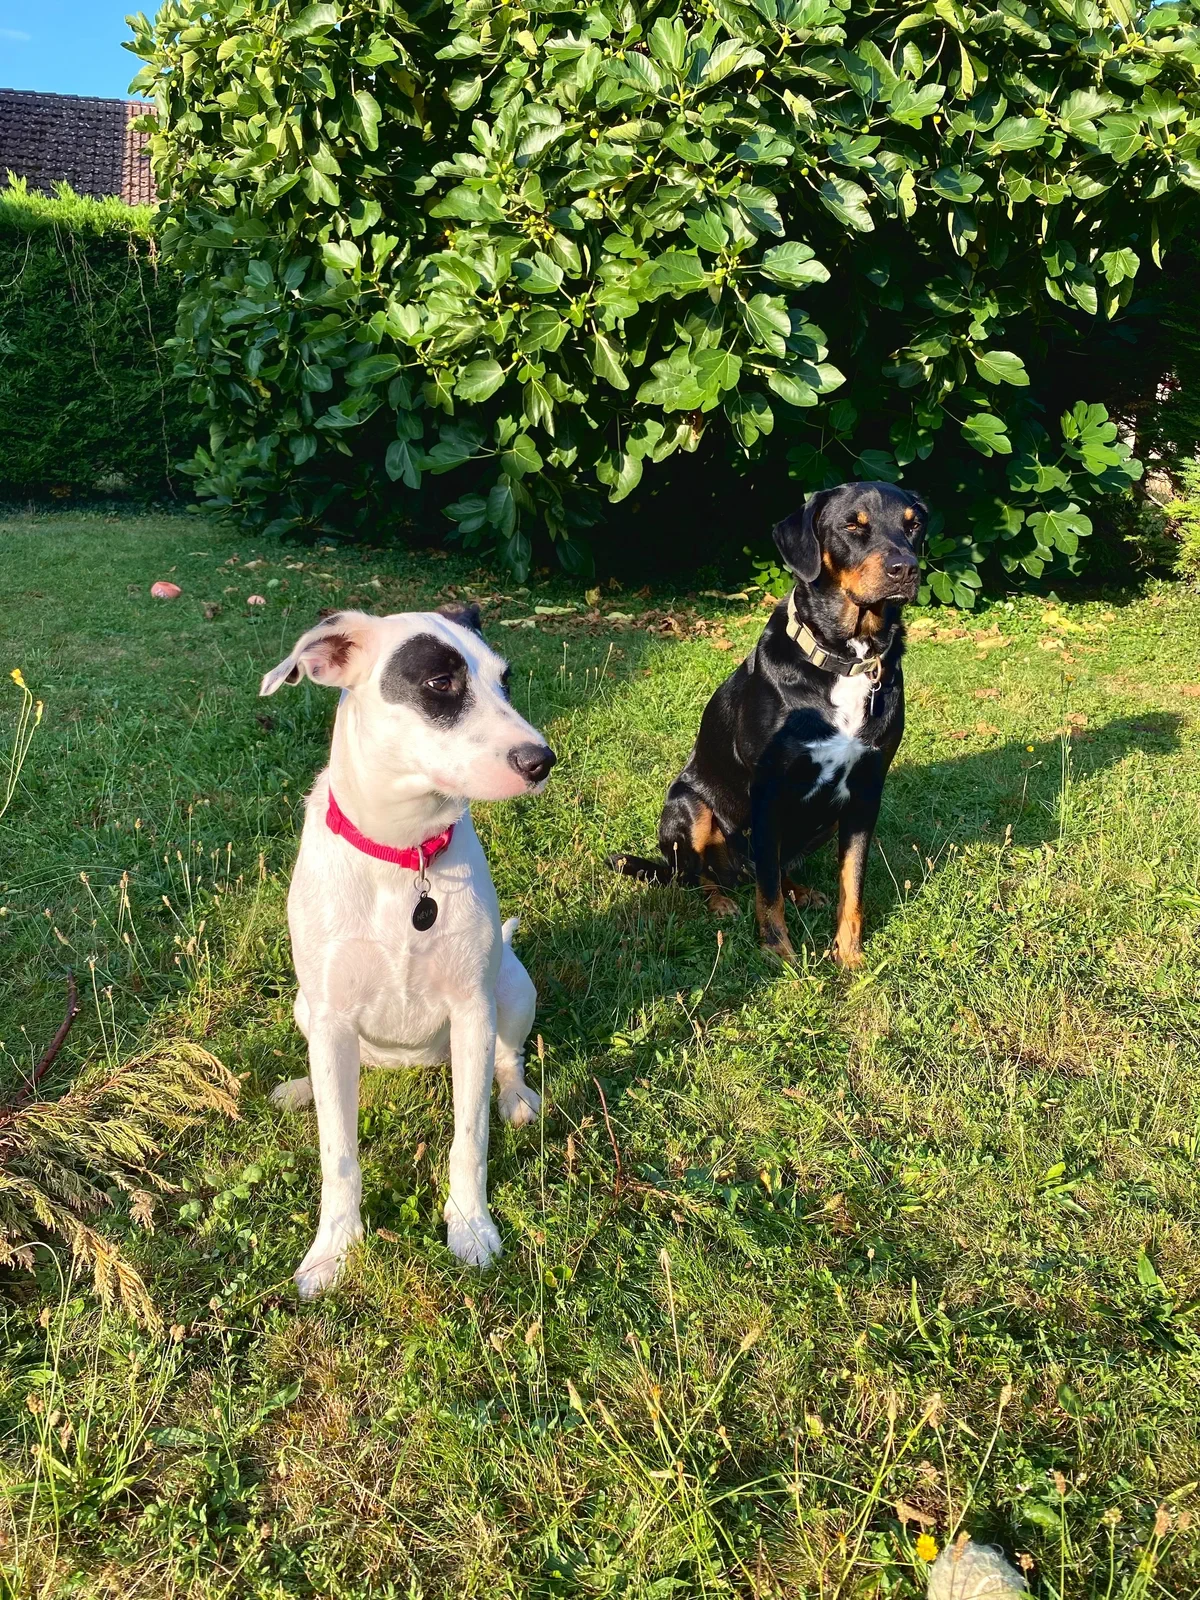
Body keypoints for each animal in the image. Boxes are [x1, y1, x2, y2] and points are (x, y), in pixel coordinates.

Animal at [260, 603, 555, 1297]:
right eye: (440, 683)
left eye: (506, 680)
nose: (541, 760)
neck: (403, 854)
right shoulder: (331, 1016)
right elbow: (339, 1155)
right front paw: (334, 1250)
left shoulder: (471, 1011)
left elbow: (469, 1138)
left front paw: (470, 1228)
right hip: (308, 1010)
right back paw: (302, 1088)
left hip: (511, 987)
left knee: (509, 1059)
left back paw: (517, 1098)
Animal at [610, 481, 925, 966]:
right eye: (852, 525)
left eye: (913, 525)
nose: (905, 568)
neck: (847, 660)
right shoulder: (769, 788)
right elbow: (768, 893)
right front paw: (778, 950)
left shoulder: (865, 791)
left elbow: (851, 885)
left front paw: (850, 956)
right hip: (690, 807)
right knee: (704, 875)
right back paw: (721, 900)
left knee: (769, 867)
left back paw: (802, 891)